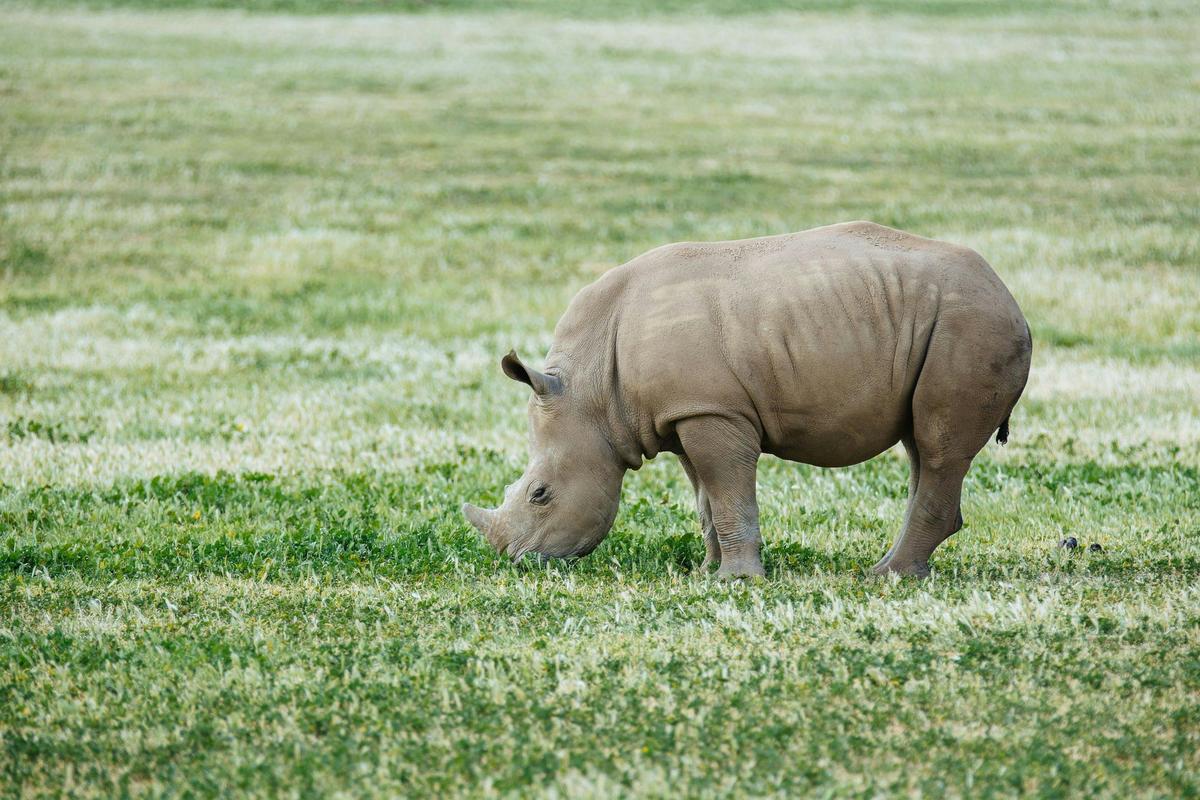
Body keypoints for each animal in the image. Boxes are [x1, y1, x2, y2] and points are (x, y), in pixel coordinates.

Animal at [463, 221, 1032, 577]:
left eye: (539, 495)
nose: (518, 562)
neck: (592, 391)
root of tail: (1010, 297)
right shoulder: (686, 412)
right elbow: (707, 498)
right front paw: (707, 571)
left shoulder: (712, 410)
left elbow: (728, 489)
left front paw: (737, 581)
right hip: (945, 324)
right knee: (920, 447)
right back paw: (898, 571)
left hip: (970, 325)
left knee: (937, 449)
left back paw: (886, 577)